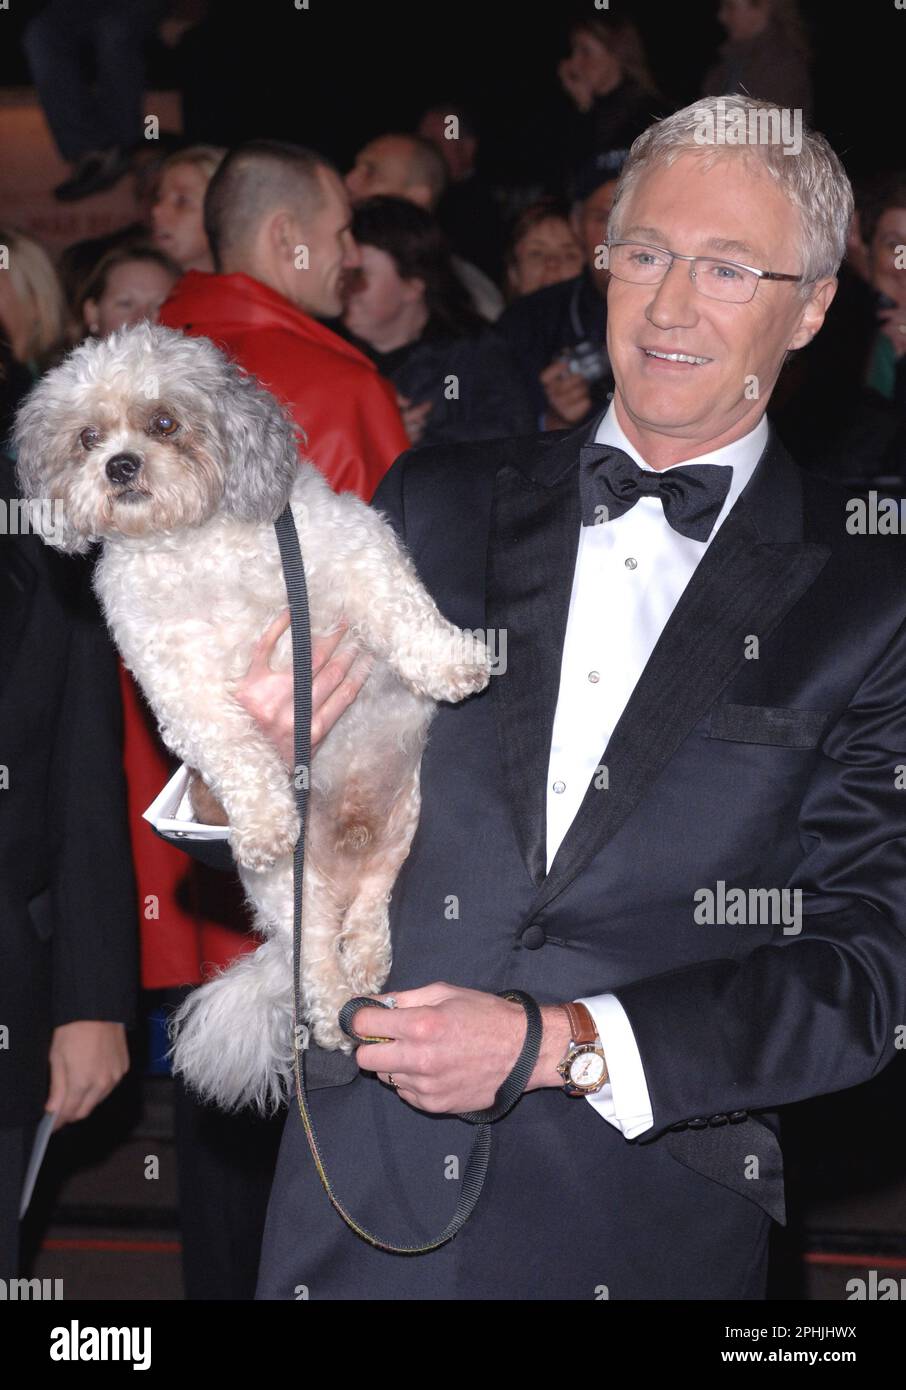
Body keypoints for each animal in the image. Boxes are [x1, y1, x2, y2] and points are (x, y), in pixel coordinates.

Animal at [14, 319, 491, 1112]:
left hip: (400, 833)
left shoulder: (352, 546)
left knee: (369, 911)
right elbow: (230, 746)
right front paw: (265, 821)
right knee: (319, 959)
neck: (195, 545)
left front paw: (449, 660)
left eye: (164, 423)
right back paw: (339, 1009)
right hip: (292, 896)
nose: (118, 465)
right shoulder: (177, 680)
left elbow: (399, 609)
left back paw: (366, 962)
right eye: (86, 437)